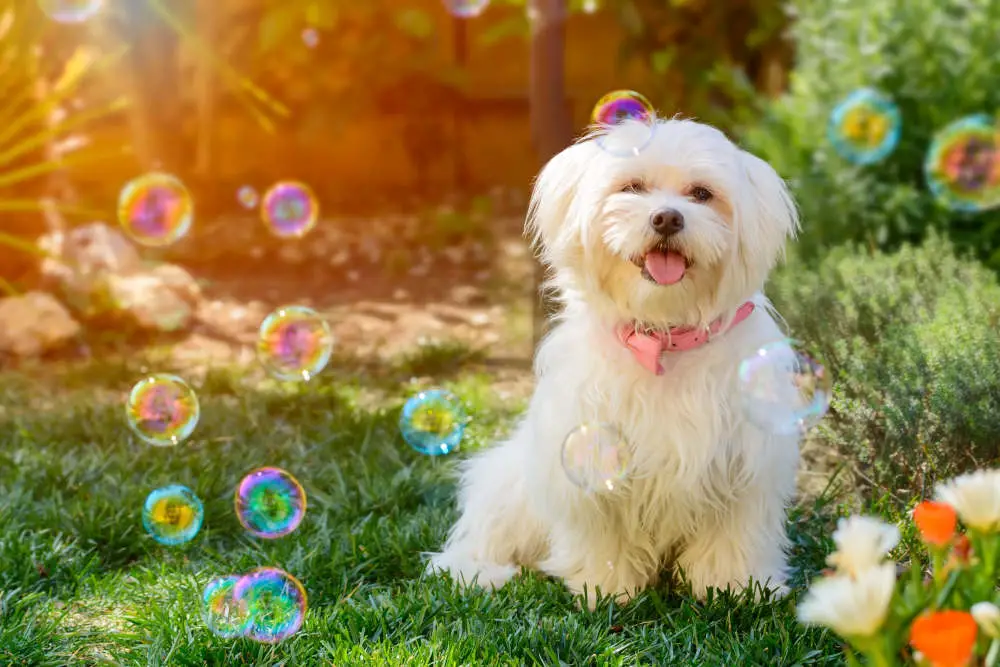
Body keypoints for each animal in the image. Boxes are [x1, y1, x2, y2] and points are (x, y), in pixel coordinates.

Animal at [426, 117, 800, 608]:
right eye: (632, 187)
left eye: (702, 194)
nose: (667, 217)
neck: (663, 336)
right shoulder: (589, 457)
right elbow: (604, 536)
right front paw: (606, 589)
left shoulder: (744, 465)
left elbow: (733, 537)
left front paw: (736, 588)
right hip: (506, 483)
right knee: (481, 536)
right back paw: (479, 570)